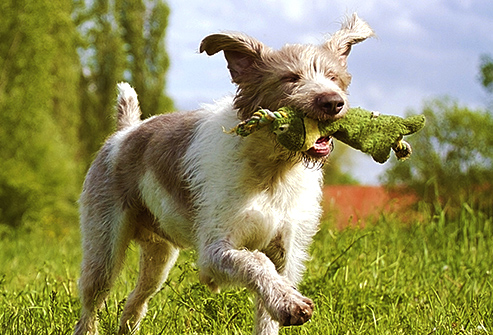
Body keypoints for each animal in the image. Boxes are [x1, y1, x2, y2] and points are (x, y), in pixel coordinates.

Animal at [73, 13, 372, 335]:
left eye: (333, 76)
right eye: (291, 78)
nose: (333, 102)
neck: (273, 170)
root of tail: (125, 132)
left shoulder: (286, 251)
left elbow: (268, 308)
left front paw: (282, 303)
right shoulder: (214, 251)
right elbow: (256, 262)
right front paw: (290, 303)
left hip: (159, 255)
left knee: (136, 299)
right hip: (104, 248)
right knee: (91, 303)